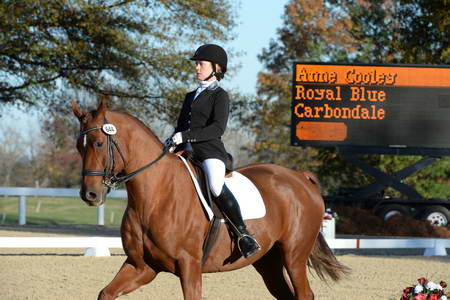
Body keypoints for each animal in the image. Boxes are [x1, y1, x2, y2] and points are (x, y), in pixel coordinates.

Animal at [70, 97, 348, 298]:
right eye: (78, 146)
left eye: (97, 143)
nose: (89, 194)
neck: (154, 196)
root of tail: (300, 177)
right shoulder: (142, 266)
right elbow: (105, 293)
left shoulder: (189, 266)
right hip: (268, 262)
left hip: (294, 256)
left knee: (304, 294)